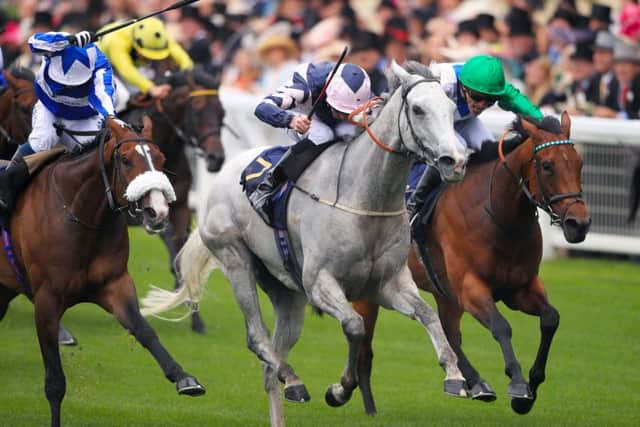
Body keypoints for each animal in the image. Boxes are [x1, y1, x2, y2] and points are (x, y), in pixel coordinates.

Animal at [0, 118, 205, 427]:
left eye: (160, 159)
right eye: (125, 159)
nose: (158, 211)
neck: (79, 213)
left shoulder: (115, 285)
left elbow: (145, 331)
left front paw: (184, 378)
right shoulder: (46, 299)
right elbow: (55, 382)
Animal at [124, 67, 226, 334]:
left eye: (222, 113)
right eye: (198, 109)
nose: (216, 158)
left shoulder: (180, 208)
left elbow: (181, 259)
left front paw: (195, 317)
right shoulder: (152, 216)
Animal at [142, 60, 468, 427]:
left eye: (452, 108)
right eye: (418, 109)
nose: (455, 161)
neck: (365, 197)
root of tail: (220, 180)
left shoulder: (388, 284)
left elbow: (429, 315)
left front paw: (454, 376)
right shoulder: (320, 282)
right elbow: (354, 326)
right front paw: (339, 390)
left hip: (287, 295)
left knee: (270, 369)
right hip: (236, 261)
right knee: (258, 340)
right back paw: (294, 379)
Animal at [350, 112, 592, 416]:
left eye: (579, 163)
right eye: (547, 166)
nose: (579, 224)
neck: (500, 217)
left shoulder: (521, 288)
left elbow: (551, 318)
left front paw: (531, 387)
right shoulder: (471, 288)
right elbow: (501, 327)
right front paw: (517, 385)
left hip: (443, 292)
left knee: (449, 332)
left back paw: (473, 382)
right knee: (365, 347)